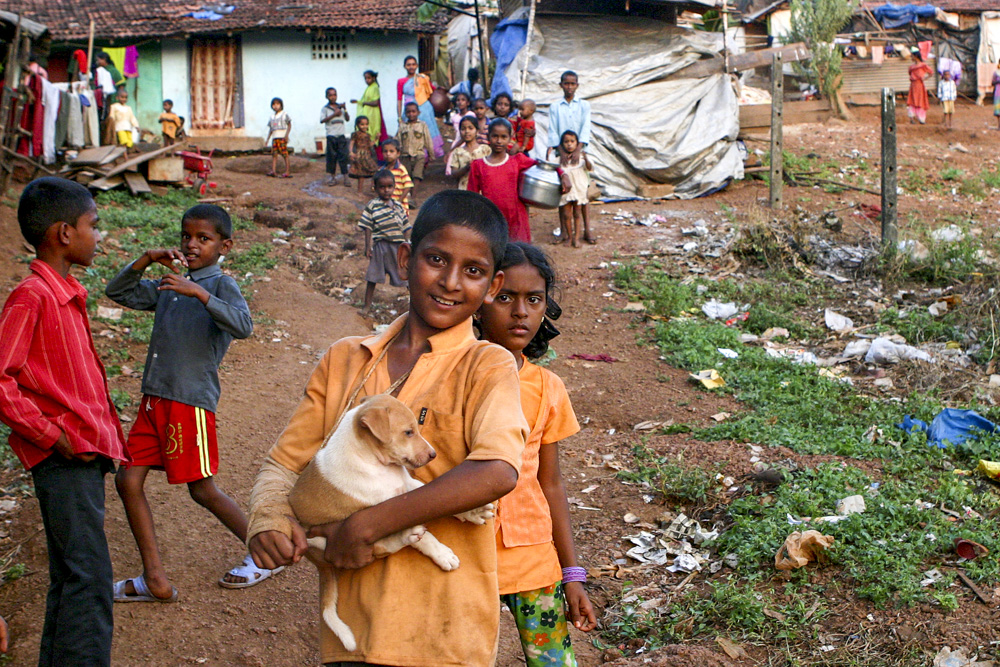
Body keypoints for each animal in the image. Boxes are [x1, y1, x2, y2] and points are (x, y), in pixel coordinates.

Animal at [290, 396, 492, 652]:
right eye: (408, 432)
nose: (433, 454)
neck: (374, 462)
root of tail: (316, 561)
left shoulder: (408, 488)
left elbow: (436, 496)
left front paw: (473, 511)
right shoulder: (384, 510)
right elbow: (426, 539)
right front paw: (443, 554)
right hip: (327, 539)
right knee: (385, 547)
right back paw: (408, 535)